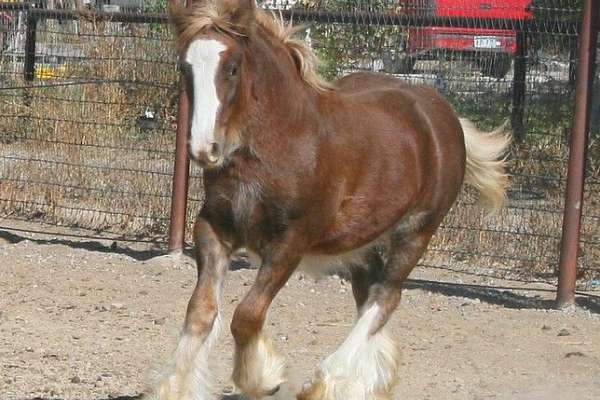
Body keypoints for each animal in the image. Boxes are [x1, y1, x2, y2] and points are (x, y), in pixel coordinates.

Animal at [151, 0, 510, 400]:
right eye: (185, 66)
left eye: (232, 67)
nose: (204, 150)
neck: (281, 142)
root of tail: (441, 110)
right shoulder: (214, 228)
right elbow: (200, 311)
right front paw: (177, 386)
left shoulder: (291, 242)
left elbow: (247, 315)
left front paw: (264, 377)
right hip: (363, 239)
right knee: (368, 295)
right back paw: (367, 380)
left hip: (417, 230)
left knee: (385, 297)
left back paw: (329, 382)